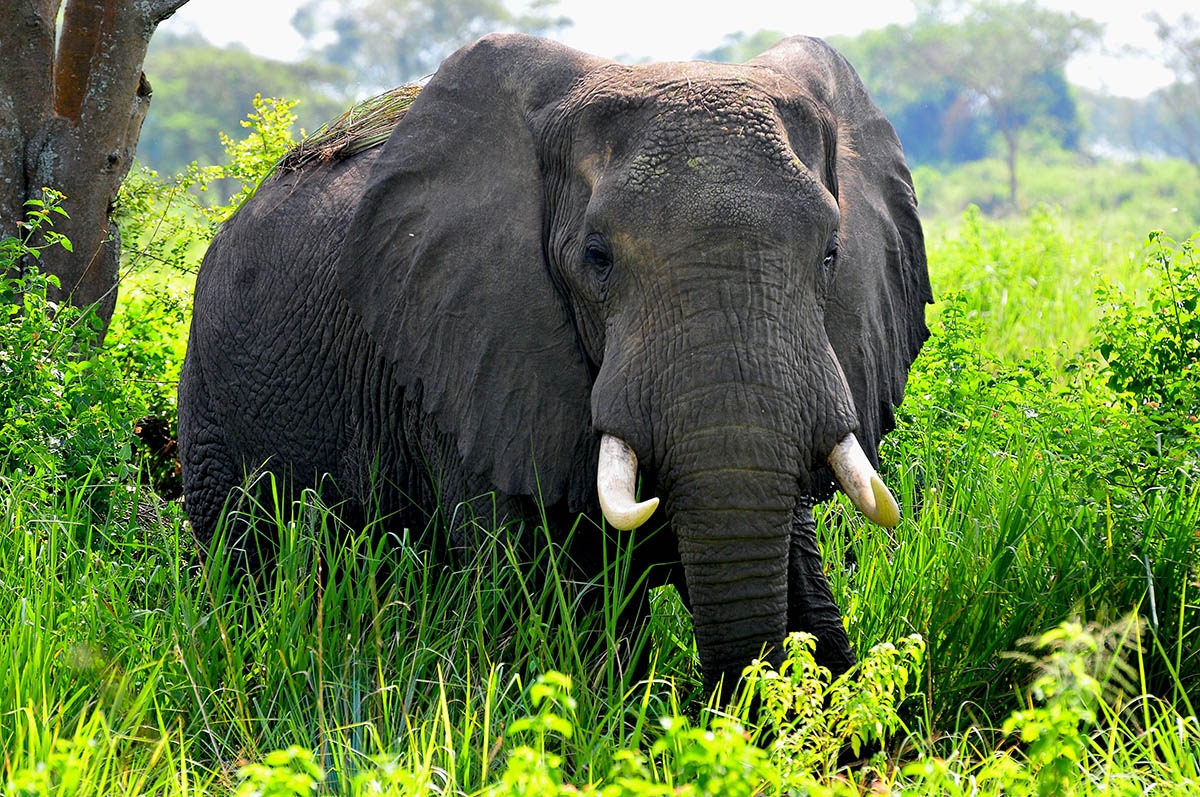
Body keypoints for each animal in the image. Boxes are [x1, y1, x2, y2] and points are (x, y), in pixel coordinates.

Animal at [175, 31, 926, 696]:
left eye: (831, 252)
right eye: (597, 257)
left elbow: (798, 574)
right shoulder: (464, 351)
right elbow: (552, 605)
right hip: (212, 412)